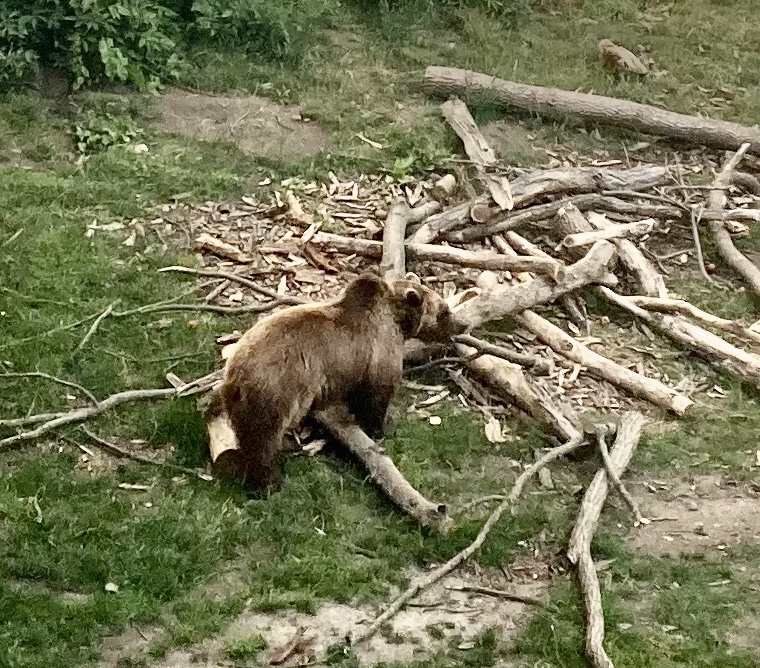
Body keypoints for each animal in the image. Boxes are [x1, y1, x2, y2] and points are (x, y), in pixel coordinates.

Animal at [218, 271, 465, 494]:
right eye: (444, 310)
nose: (462, 325)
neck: (397, 320)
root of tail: (236, 373)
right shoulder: (379, 350)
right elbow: (377, 395)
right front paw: (383, 427)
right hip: (278, 389)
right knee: (264, 440)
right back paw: (270, 484)